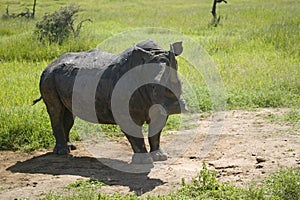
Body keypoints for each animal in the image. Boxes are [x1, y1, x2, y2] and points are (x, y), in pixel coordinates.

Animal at [34, 39, 186, 164]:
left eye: (181, 83)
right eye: (153, 87)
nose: (175, 107)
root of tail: (50, 64)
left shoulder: (159, 108)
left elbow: (156, 132)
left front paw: (160, 157)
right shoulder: (125, 111)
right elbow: (135, 134)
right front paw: (144, 161)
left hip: (62, 77)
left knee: (68, 113)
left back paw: (70, 147)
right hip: (48, 77)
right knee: (56, 111)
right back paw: (62, 152)